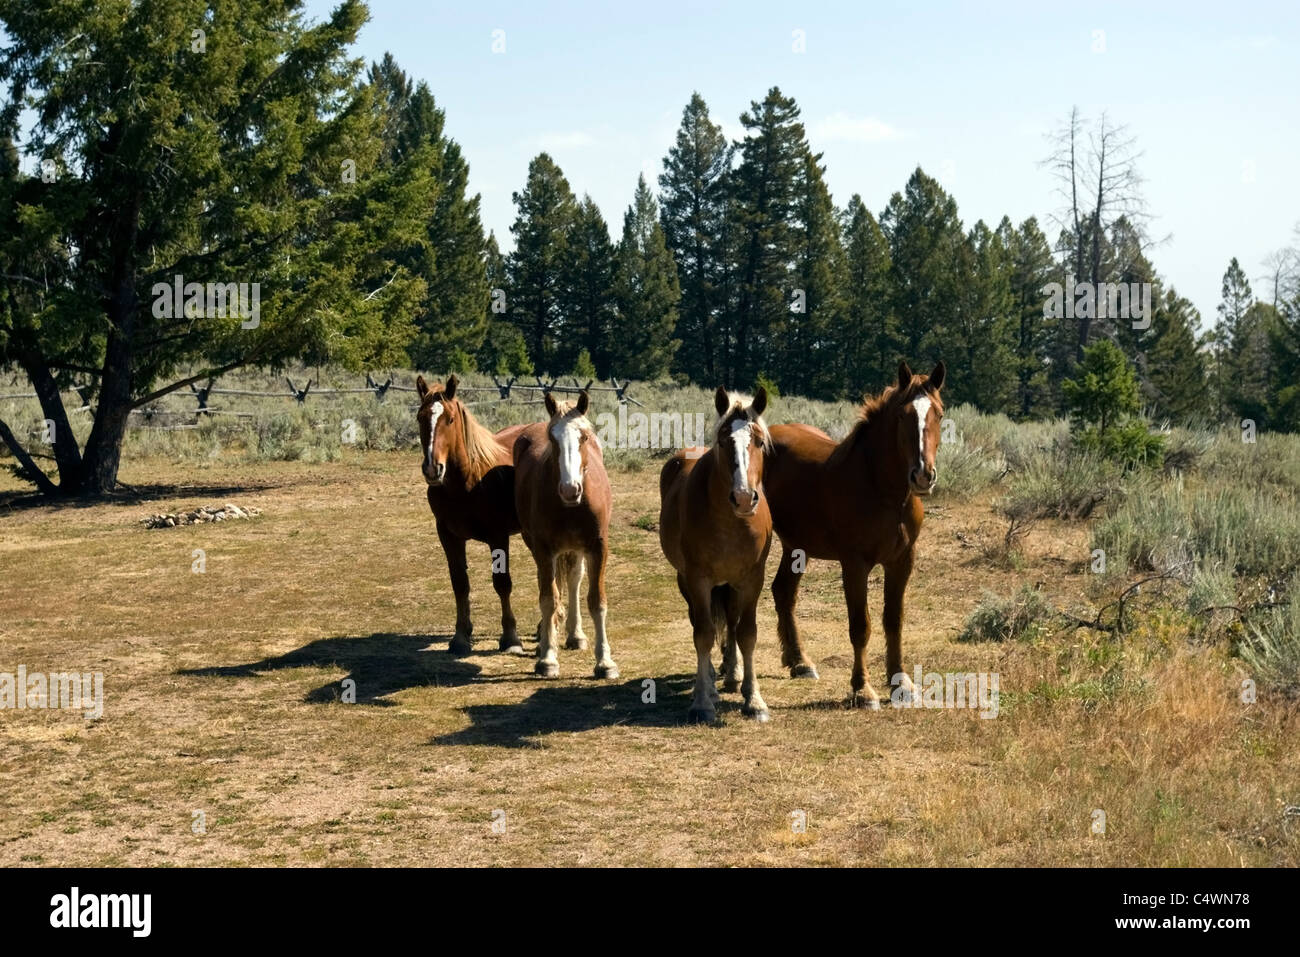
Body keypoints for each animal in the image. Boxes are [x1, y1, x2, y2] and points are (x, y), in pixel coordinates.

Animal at [416, 374, 585, 657]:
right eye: (420, 418)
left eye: (449, 419)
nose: (432, 469)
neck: (468, 480)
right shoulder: (448, 536)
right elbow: (460, 583)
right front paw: (460, 636)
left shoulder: (497, 536)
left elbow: (502, 583)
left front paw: (510, 637)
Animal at [512, 390, 618, 681]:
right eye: (552, 438)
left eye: (584, 437)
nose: (571, 490)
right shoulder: (544, 548)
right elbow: (549, 599)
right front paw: (548, 658)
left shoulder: (597, 547)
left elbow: (597, 601)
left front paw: (605, 662)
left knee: (573, 579)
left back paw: (575, 634)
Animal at [660, 384, 769, 722]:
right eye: (723, 441)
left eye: (759, 441)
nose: (744, 498)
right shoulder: (698, 579)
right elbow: (704, 634)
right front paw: (702, 702)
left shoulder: (752, 579)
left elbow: (747, 633)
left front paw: (754, 699)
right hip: (687, 581)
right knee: (700, 621)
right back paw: (708, 682)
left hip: (730, 585)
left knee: (731, 623)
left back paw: (733, 675)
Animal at [759, 361, 946, 707]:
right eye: (903, 415)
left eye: (938, 414)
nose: (923, 476)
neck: (884, 491)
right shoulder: (855, 565)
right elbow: (861, 626)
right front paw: (862, 689)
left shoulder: (902, 561)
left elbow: (893, 620)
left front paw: (901, 683)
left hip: (796, 546)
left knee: (783, 592)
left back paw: (799, 662)